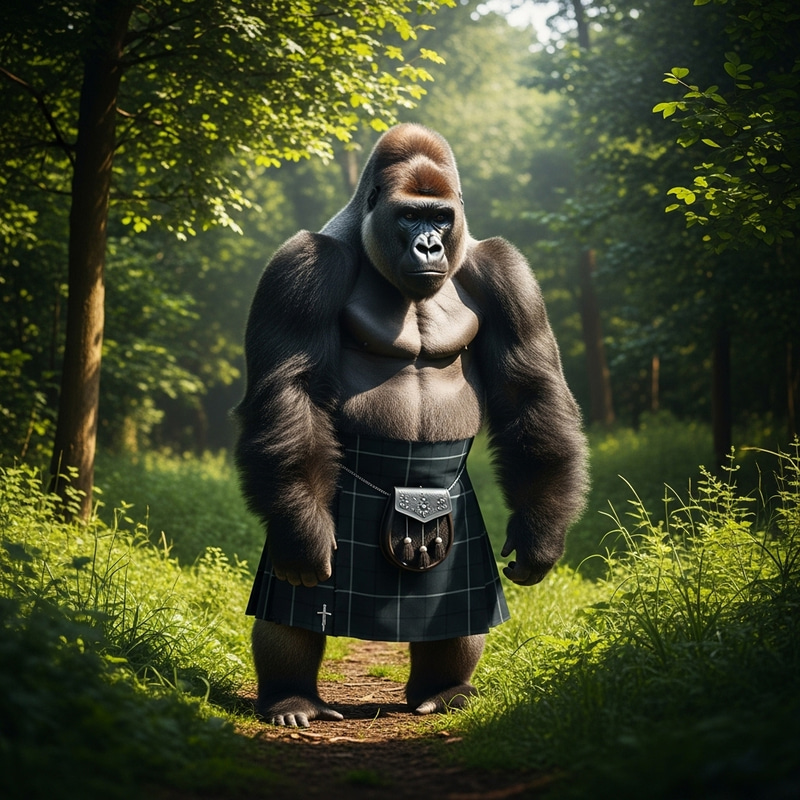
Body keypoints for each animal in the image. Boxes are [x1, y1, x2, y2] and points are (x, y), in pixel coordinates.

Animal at [234, 123, 588, 727]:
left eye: (441, 217)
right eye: (409, 216)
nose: (429, 245)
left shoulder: (507, 272)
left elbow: (530, 392)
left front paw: (541, 532)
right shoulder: (302, 266)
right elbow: (292, 392)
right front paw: (303, 536)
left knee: (460, 616)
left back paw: (445, 689)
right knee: (293, 604)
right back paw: (290, 696)